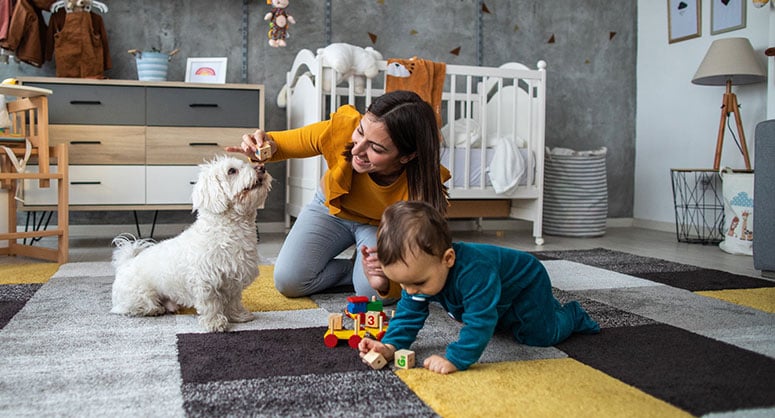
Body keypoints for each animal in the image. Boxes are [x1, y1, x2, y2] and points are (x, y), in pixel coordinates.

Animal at [110, 155, 272, 332]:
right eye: (232, 171)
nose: (262, 168)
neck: (228, 229)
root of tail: (125, 263)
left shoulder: (234, 279)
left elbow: (233, 301)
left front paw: (239, 316)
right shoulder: (206, 281)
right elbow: (211, 304)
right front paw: (214, 322)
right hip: (140, 296)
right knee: (132, 307)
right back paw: (155, 309)